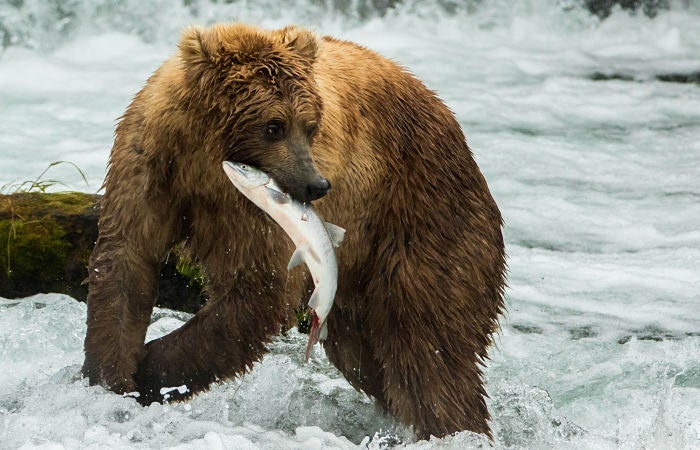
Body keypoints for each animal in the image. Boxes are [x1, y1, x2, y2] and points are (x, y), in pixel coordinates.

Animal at [82, 23, 506, 440]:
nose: (316, 185)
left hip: (423, 218)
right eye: (274, 126)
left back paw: (454, 427)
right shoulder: (151, 165)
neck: (202, 164)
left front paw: (151, 371)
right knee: (366, 355)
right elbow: (126, 261)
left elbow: (259, 290)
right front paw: (109, 375)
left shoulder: (252, 212)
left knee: (427, 349)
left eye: (310, 125)